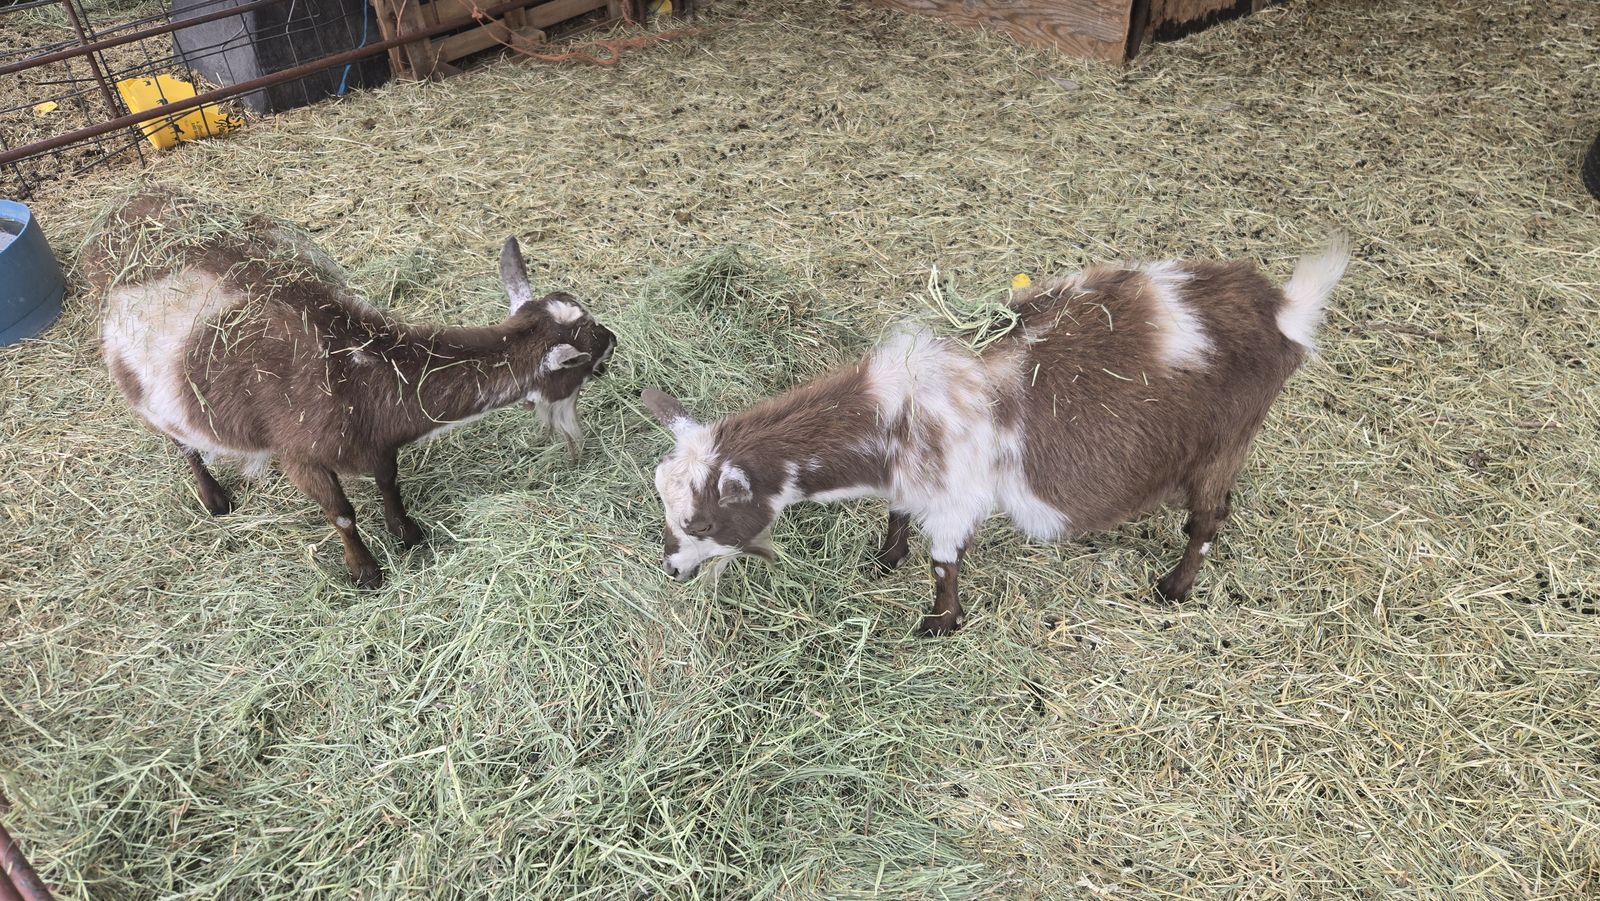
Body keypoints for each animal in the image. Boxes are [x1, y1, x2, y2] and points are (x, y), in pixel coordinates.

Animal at [86, 194, 616, 588]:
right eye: (597, 366)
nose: (613, 338)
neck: (361, 373)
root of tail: (120, 212)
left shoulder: (376, 441)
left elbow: (388, 479)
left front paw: (407, 532)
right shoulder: (300, 455)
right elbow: (340, 514)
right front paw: (365, 572)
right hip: (142, 385)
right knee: (180, 441)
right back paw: (214, 498)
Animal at [642, 238, 1348, 635]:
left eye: (701, 522)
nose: (672, 570)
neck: (894, 412)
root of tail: (1280, 308)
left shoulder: (958, 495)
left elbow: (943, 561)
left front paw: (938, 624)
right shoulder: (914, 480)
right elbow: (898, 515)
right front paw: (885, 558)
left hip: (1228, 440)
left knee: (1208, 518)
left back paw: (1173, 588)